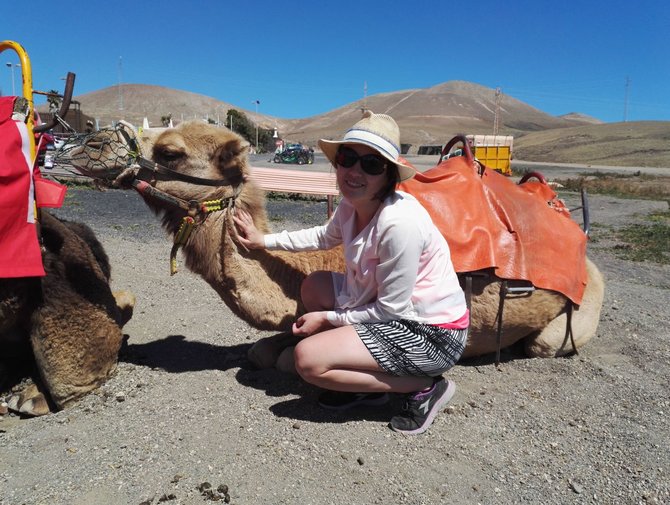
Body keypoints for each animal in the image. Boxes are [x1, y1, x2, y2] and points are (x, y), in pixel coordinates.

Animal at [63, 121, 608, 374]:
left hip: (584, 299)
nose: (88, 145)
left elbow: (285, 357)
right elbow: (262, 350)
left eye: (171, 151)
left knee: (541, 342)